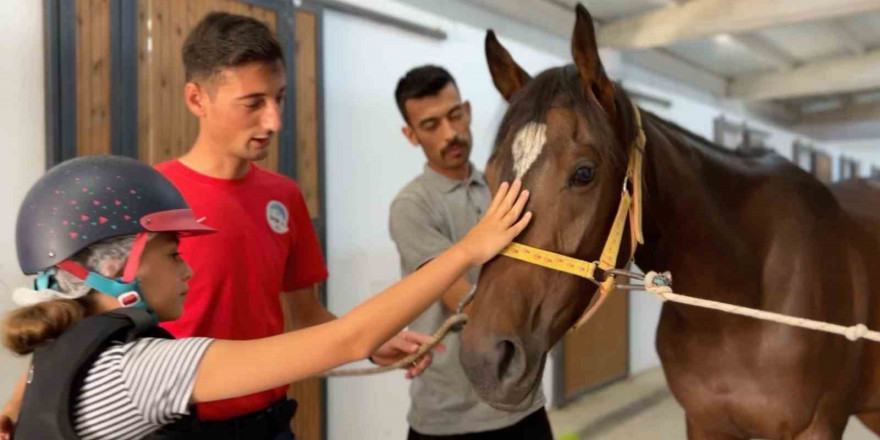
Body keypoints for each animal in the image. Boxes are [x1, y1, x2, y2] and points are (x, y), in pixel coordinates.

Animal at [458, 4, 880, 440]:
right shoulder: (703, 421)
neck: (740, 306)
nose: (484, 360)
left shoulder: (818, 426)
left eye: (584, 173)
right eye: (491, 173)